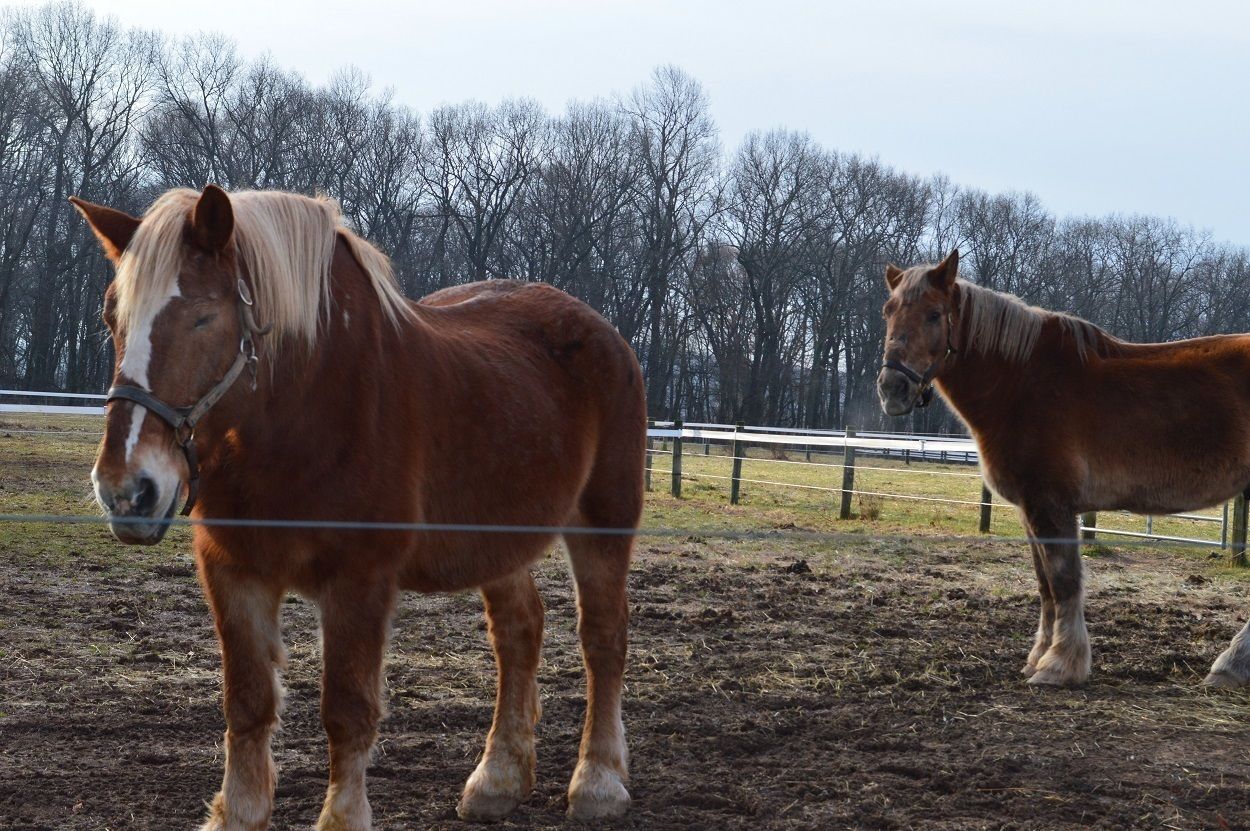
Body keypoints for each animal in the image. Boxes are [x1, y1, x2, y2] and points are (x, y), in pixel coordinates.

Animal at [72, 185, 646, 829]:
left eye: (202, 315)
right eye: (111, 317)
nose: (127, 490)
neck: (306, 408)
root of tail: (603, 332)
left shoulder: (359, 579)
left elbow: (347, 710)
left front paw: (342, 817)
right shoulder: (233, 570)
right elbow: (247, 701)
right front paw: (240, 811)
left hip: (603, 522)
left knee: (602, 638)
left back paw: (598, 782)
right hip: (496, 540)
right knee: (519, 631)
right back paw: (497, 780)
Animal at [877, 250, 1250, 689]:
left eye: (934, 314)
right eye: (888, 312)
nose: (892, 389)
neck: (1022, 381)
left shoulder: (1051, 504)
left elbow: (1064, 582)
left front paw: (1059, 665)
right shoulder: (1030, 509)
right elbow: (1045, 586)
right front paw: (1039, 656)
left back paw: (1229, 664)